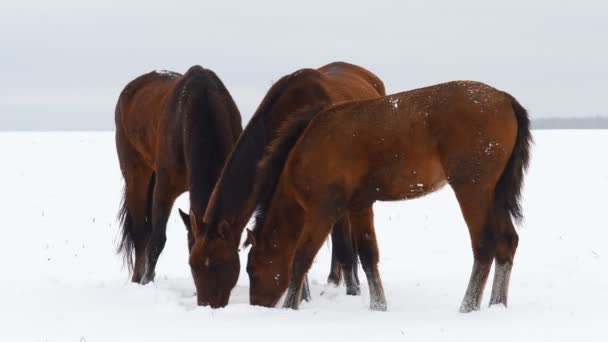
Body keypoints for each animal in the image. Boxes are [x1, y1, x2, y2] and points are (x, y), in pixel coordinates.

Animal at [116, 65, 242, 284]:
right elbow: (157, 239)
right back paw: (137, 278)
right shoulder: (164, 189)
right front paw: (147, 281)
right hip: (135, 174)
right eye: (194, 263)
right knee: (141, 232)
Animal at [186, 61, 384, 308]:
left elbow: (343, 249)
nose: (206, 305)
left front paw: (351, 292)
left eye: (217, 263)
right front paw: (303, 296)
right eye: (192, 264)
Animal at [247, 81, 532, 312]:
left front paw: (289, 307)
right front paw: (378, 305)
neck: (309, 148)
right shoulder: (359, 206)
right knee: (507, 242)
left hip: (472, 189)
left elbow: (301, 258)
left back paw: (468, 306)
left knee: (485, 244)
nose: (257, 305)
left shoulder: (322, 211)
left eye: (251, 269)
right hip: (494, 194)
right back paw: (496, 304)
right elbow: (367, 254)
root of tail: (505, 98)